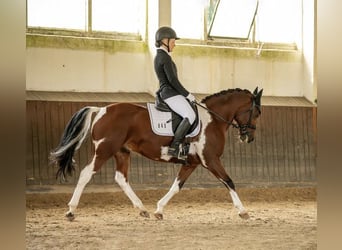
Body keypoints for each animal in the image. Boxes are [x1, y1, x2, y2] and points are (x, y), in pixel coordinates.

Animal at [50, 87, 264, 221]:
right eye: (256, 113)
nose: (249, 138)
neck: (213, 119)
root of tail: (102, 109)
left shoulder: (191, 163)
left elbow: (177, 186)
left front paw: (159, 210)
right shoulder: (210, 160)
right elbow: (229, 181)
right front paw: (243, 211)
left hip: (122, 152)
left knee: (121, 178)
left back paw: (142, 209)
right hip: (104, 150)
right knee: (86, 174)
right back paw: (71, 211)